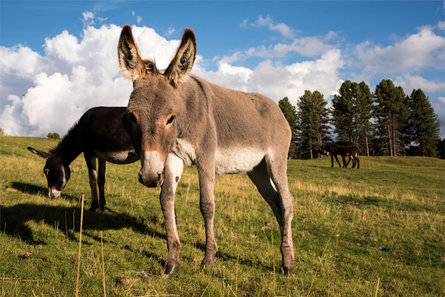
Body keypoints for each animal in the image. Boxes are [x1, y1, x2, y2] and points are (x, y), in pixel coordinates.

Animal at [117, 24, 294, 276]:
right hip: (257, 170)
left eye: (170, 118)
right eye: (132, 116)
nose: (150, 176)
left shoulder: (206, 157)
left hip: (276, 160)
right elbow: (166, 199)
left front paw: (208, 259)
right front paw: (172, 261)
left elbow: (207, 204)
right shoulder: (172, 156)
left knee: (287, 202)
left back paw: (288, 264)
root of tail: (276, 107)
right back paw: (287, 254)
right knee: (276, 203)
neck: (186, 115)